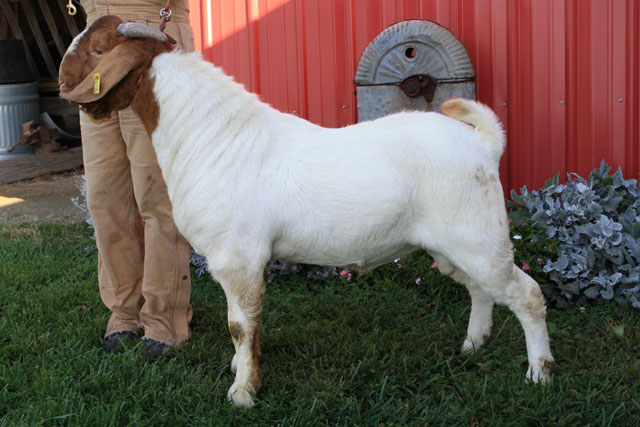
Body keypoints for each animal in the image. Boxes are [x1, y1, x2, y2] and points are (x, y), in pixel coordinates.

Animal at [57, 16, 552, 410]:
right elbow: (244, 326)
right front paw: (240, 371)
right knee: (481, 289)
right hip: (453, 245)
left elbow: (240, 325)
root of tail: (484, 143)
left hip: (478, 233)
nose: (61, 85)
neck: (213, 135)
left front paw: (243, 392)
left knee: (526, 294)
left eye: (97, 50)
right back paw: (472, 344)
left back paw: (539, 373)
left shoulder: (237, 257)